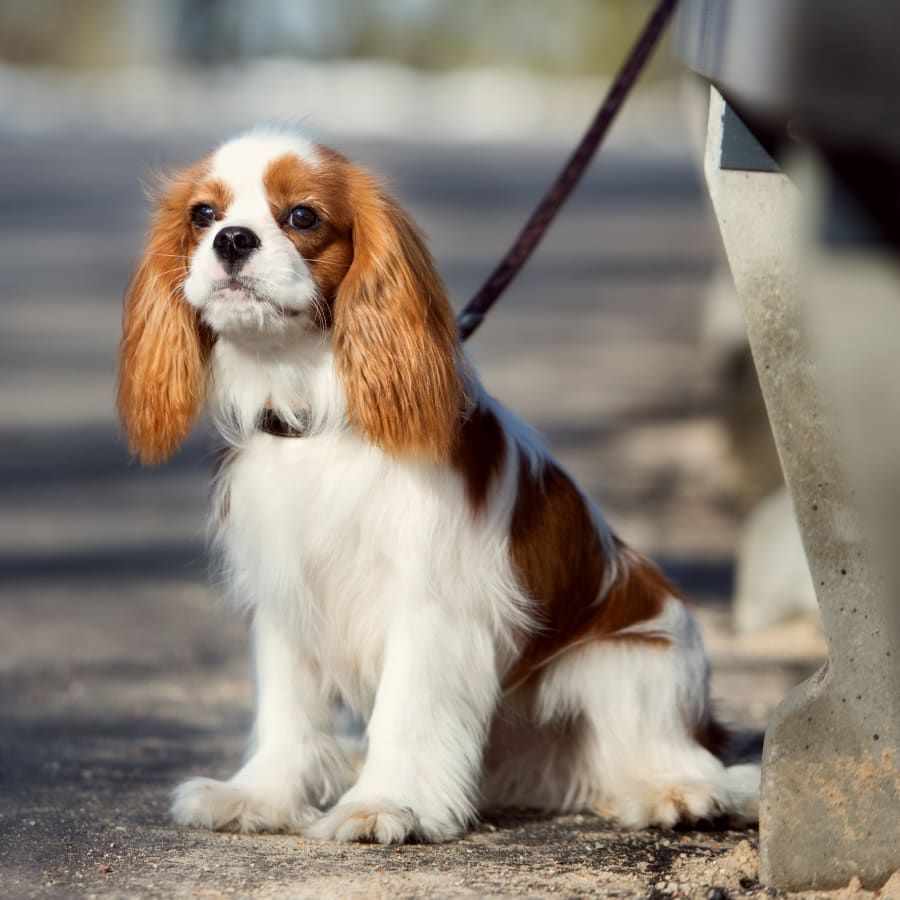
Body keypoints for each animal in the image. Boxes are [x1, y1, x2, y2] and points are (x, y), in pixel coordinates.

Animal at [116, 126, 756, 844]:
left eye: (302, 217)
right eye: (203, 214)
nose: (231, 239)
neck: (316, 414)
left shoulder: (433, 607)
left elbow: (408, 711)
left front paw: (384, 805)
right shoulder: (285, 594)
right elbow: (287, 708)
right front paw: (260, 796)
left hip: (627, 663)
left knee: (683, 759)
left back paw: (682, 794)